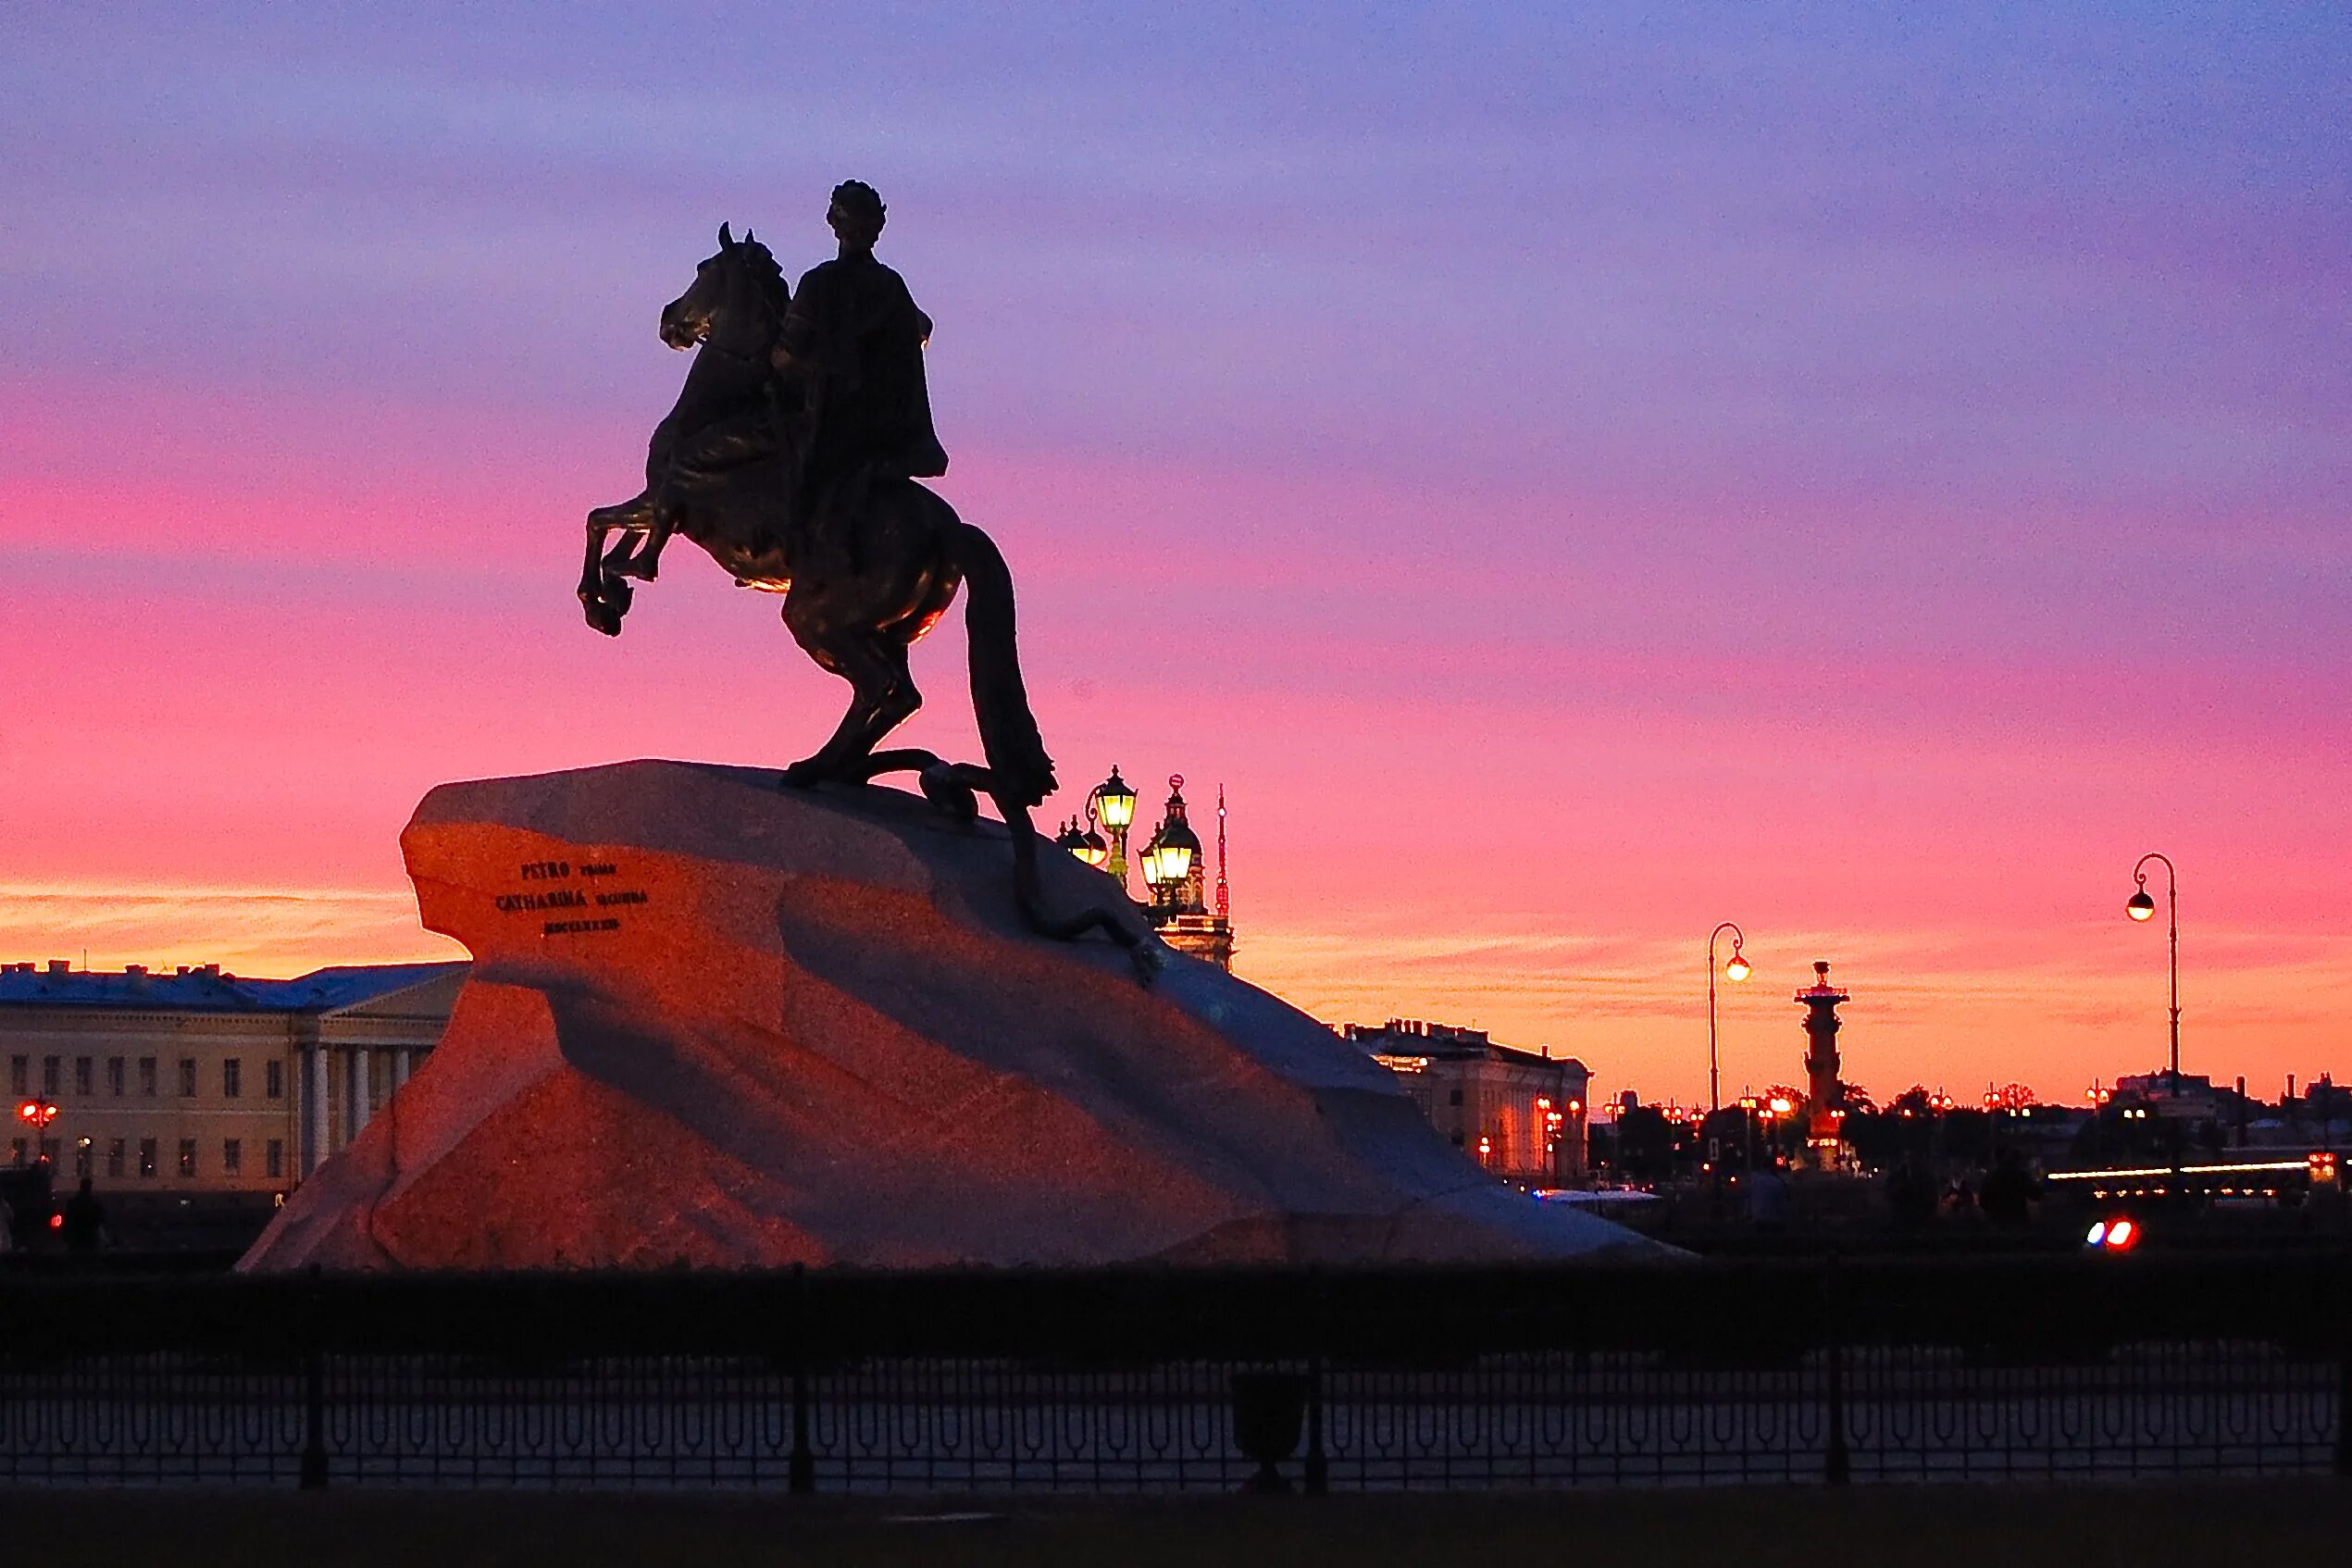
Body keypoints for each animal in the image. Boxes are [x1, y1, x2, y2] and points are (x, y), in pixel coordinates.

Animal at [579, 227, 1148, 964]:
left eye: (705, 269)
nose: (670, 321)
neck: (724, 403)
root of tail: (951, 527)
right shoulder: (657, 503)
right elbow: (612, 529)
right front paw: (615, 594)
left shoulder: (666, 496)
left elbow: (600, 521)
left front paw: (602, 599)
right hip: (886, 626)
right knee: (893, 694)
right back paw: (856, 770)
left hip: (816, 620)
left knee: (888, 691)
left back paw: (818, 768)